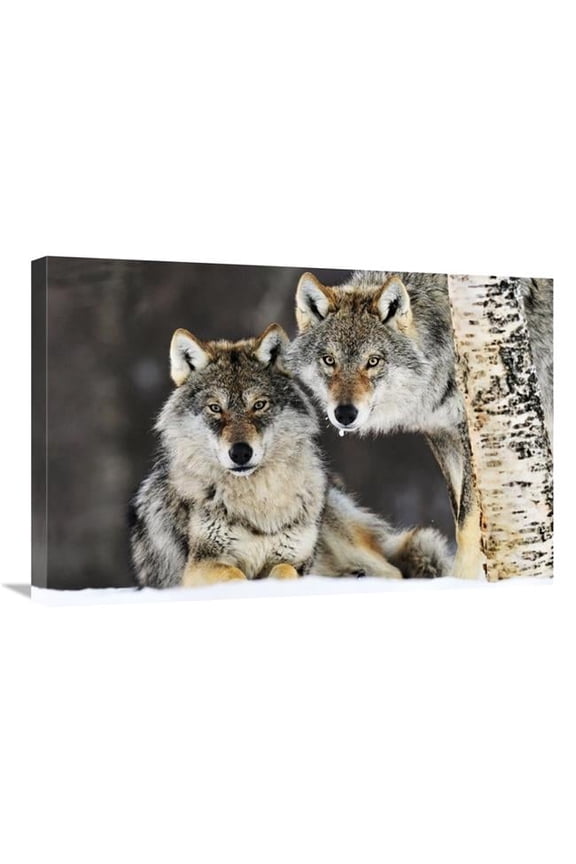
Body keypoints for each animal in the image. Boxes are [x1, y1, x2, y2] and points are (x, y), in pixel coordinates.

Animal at [129, 323, 451, 587]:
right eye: (215, 408)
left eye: (259, 405)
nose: (241, 452)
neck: (259, 501)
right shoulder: (200, 565)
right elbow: (235, 575)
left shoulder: (294, 560)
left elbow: (284, 572)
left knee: (394, 572)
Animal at [287, 270, 553, 579]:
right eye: (329, 360)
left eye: (373, 361)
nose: (344, 413)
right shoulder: (443, 434)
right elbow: (459, 515)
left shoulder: (473, 436)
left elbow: (467, 525)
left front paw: (460, 581)